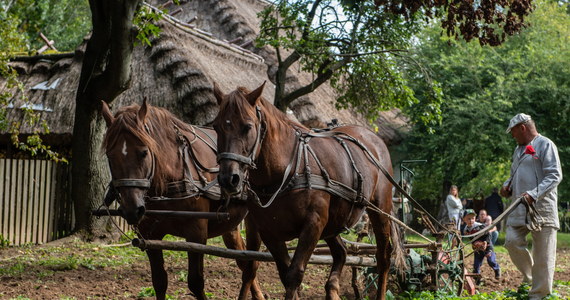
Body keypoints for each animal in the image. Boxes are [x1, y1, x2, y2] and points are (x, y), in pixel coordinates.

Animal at [100, 101, 264, 300]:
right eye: (110, 156)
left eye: (144, 152)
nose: (132, 209)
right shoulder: (150, 237)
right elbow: (159, 281)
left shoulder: (196, 234)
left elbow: (195, 282)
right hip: (230, 224)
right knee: (243, 260)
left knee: (251, 266)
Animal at [212, 82, 404, 300]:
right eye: (216, 126)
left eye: (248, 126)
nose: (228, 179)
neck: (287, 171)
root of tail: (373, 138)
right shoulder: (269, 231)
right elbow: (284, 273)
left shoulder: (313, 223)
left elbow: (294, 274)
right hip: (334, 221)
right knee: (341, 252)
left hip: (380, 210)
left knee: (383, 257)